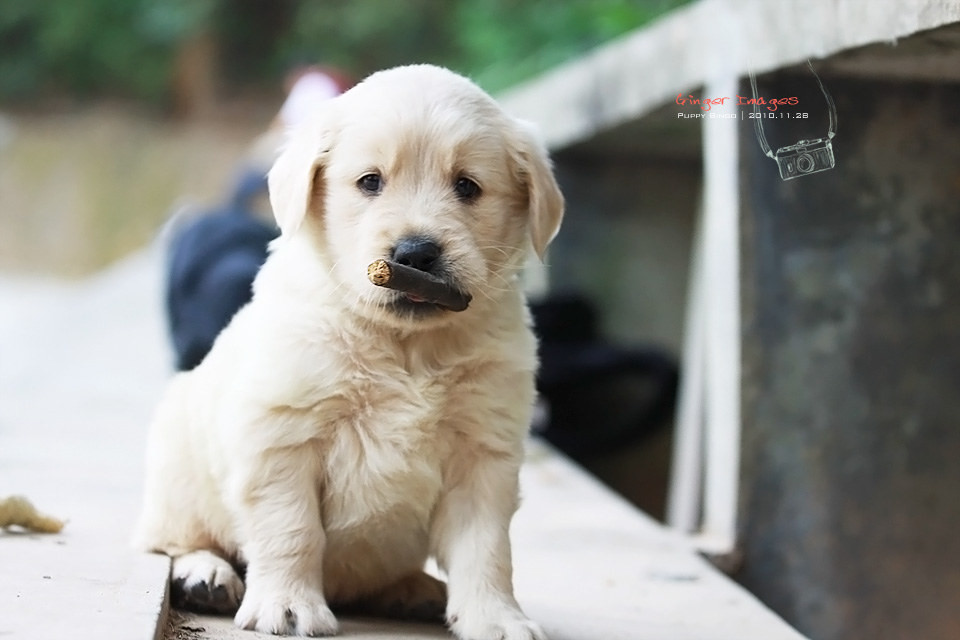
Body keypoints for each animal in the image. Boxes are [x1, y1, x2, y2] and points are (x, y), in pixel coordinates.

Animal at [139, 65, 568, 640]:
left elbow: (487, 548)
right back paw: (203, 574)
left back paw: (414, 588)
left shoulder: (483, 452)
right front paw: (288, 605)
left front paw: (496, 616)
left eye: (467, 186)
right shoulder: (281, 435)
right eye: (370, 181)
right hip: (177, 467)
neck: (404, 344)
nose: (415, 253)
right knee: (170, 540)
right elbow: (291, 528)